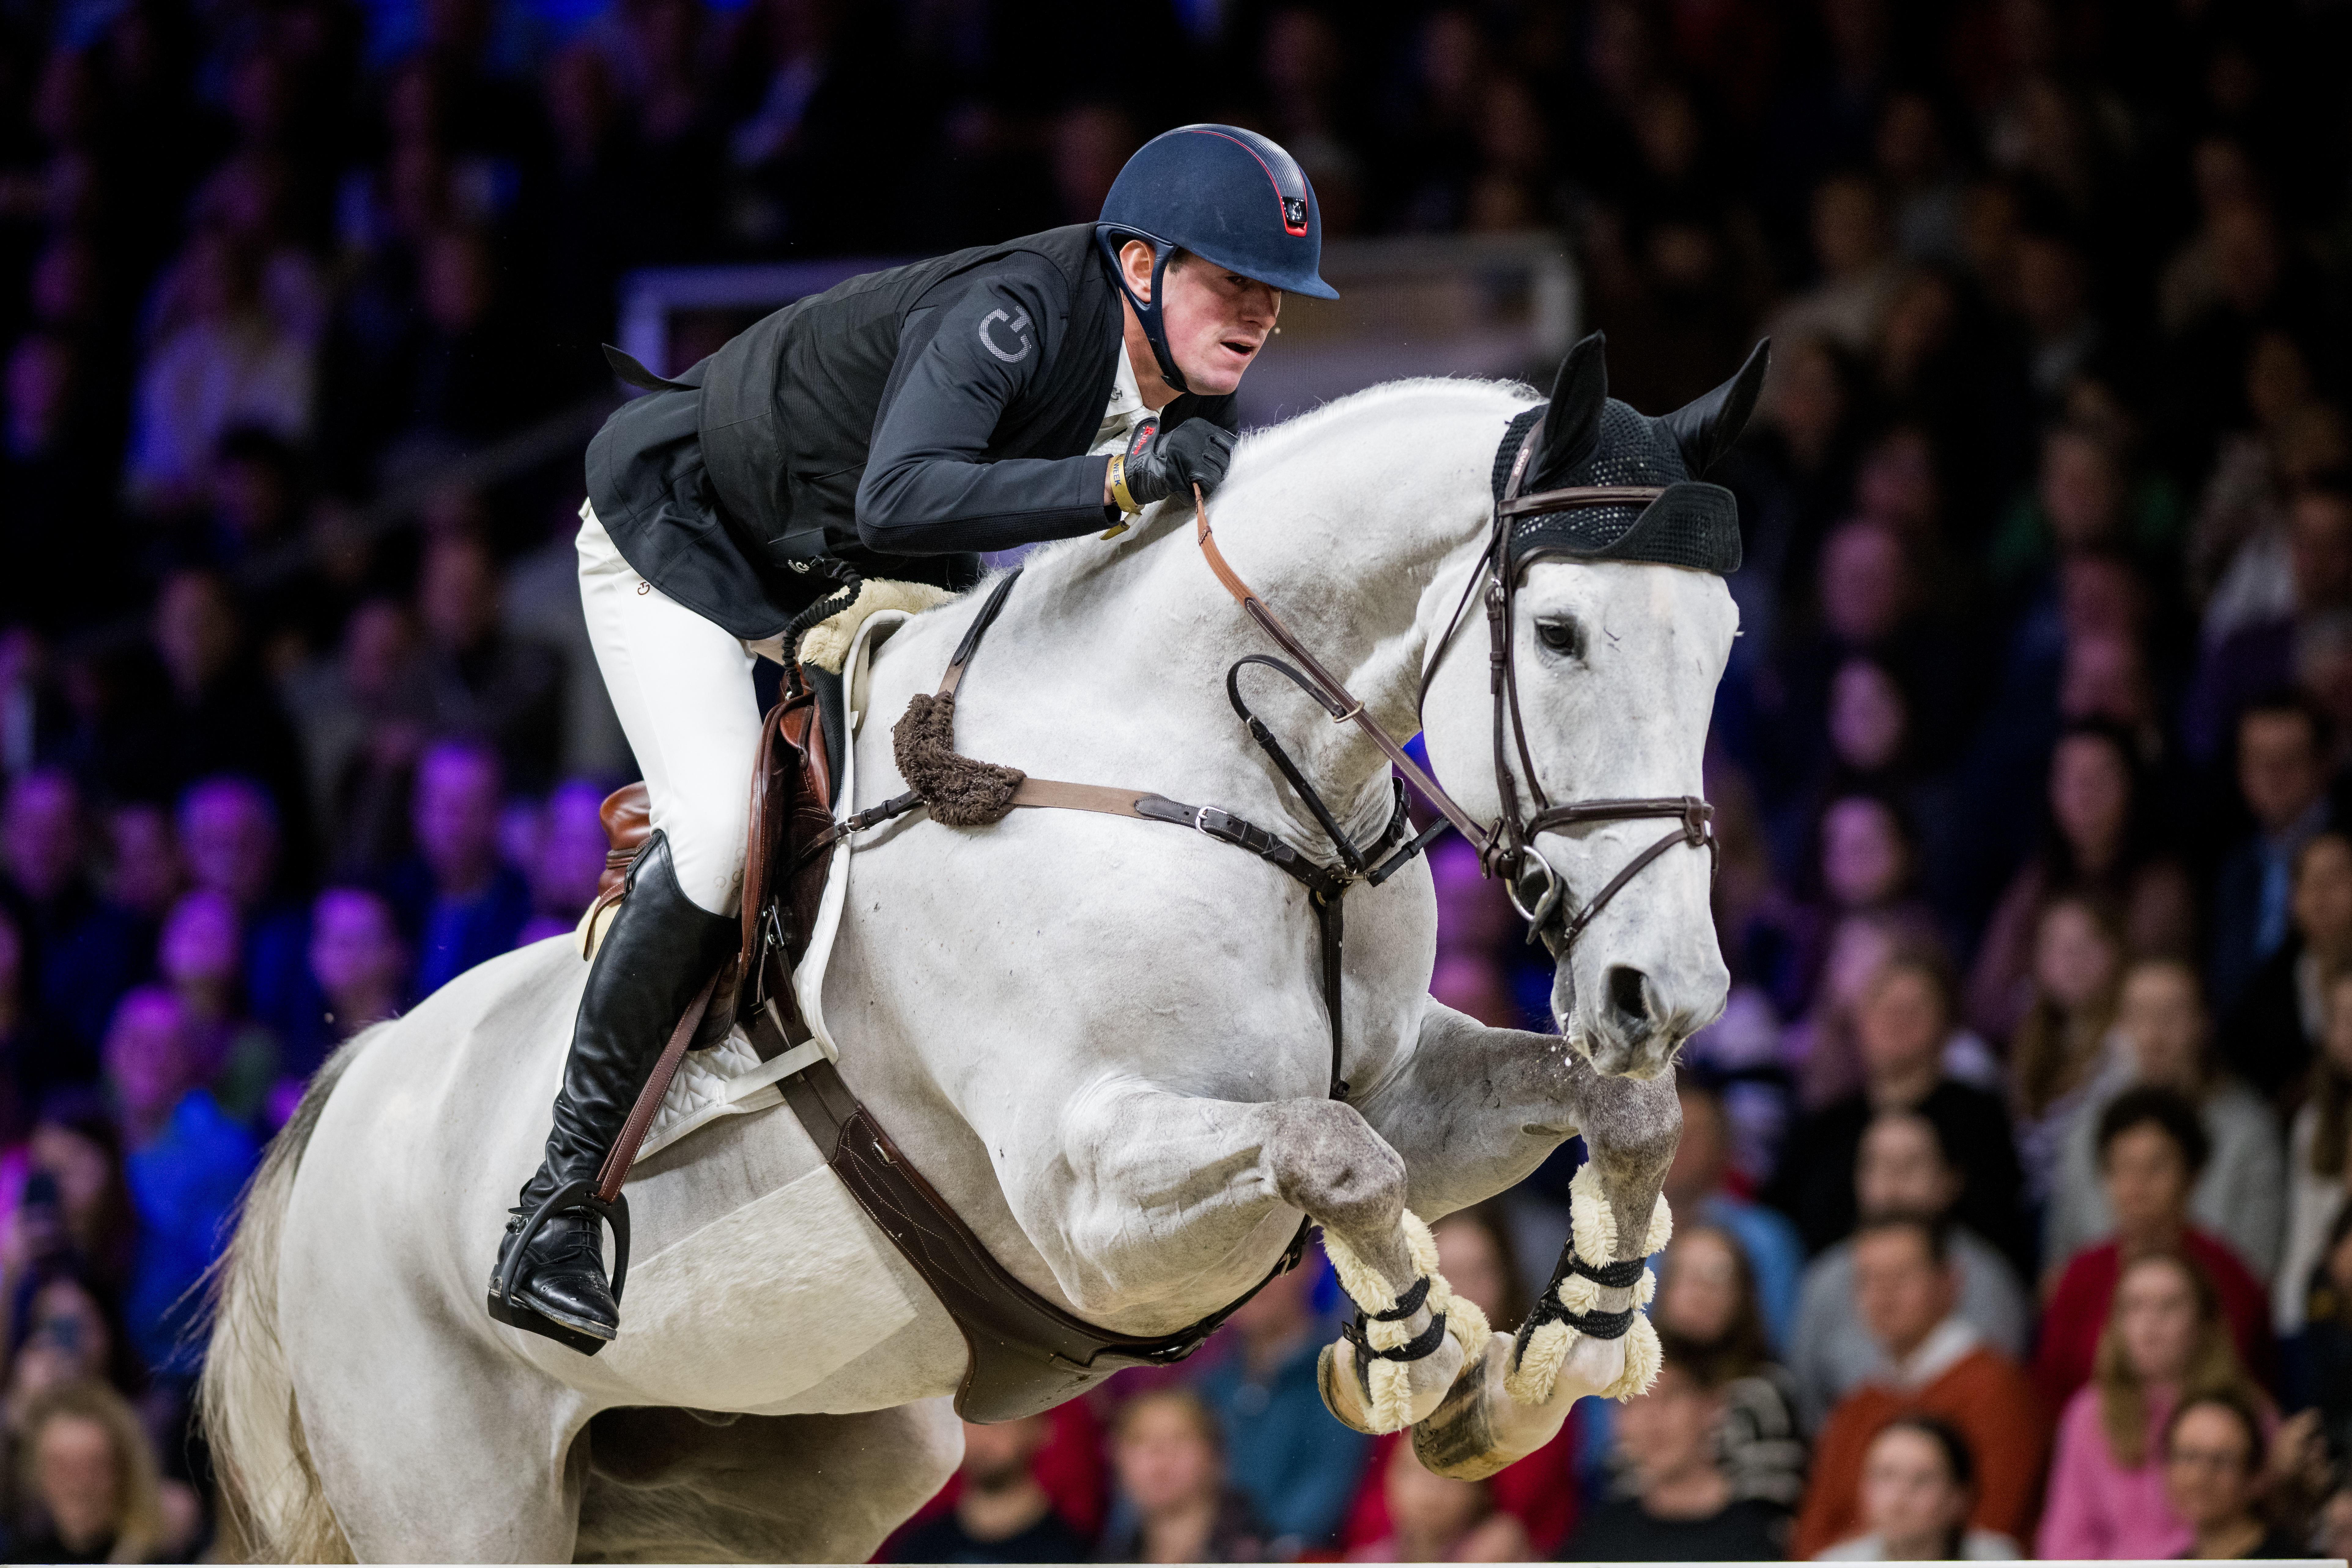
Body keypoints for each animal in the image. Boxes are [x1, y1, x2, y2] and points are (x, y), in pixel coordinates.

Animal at [202, 338, 1750, 1561]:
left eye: (1728, 638)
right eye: (1560, 632)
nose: (1665, 991)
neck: (1211, 762)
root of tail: (336, 1107)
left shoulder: (1408, 1090)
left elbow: (1612, 1112)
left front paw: (1560, 1350)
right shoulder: (1083, 1201)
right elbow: (1331, 1153)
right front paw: (1417, 1357)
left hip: (792, 1470)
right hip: (460, 1495)